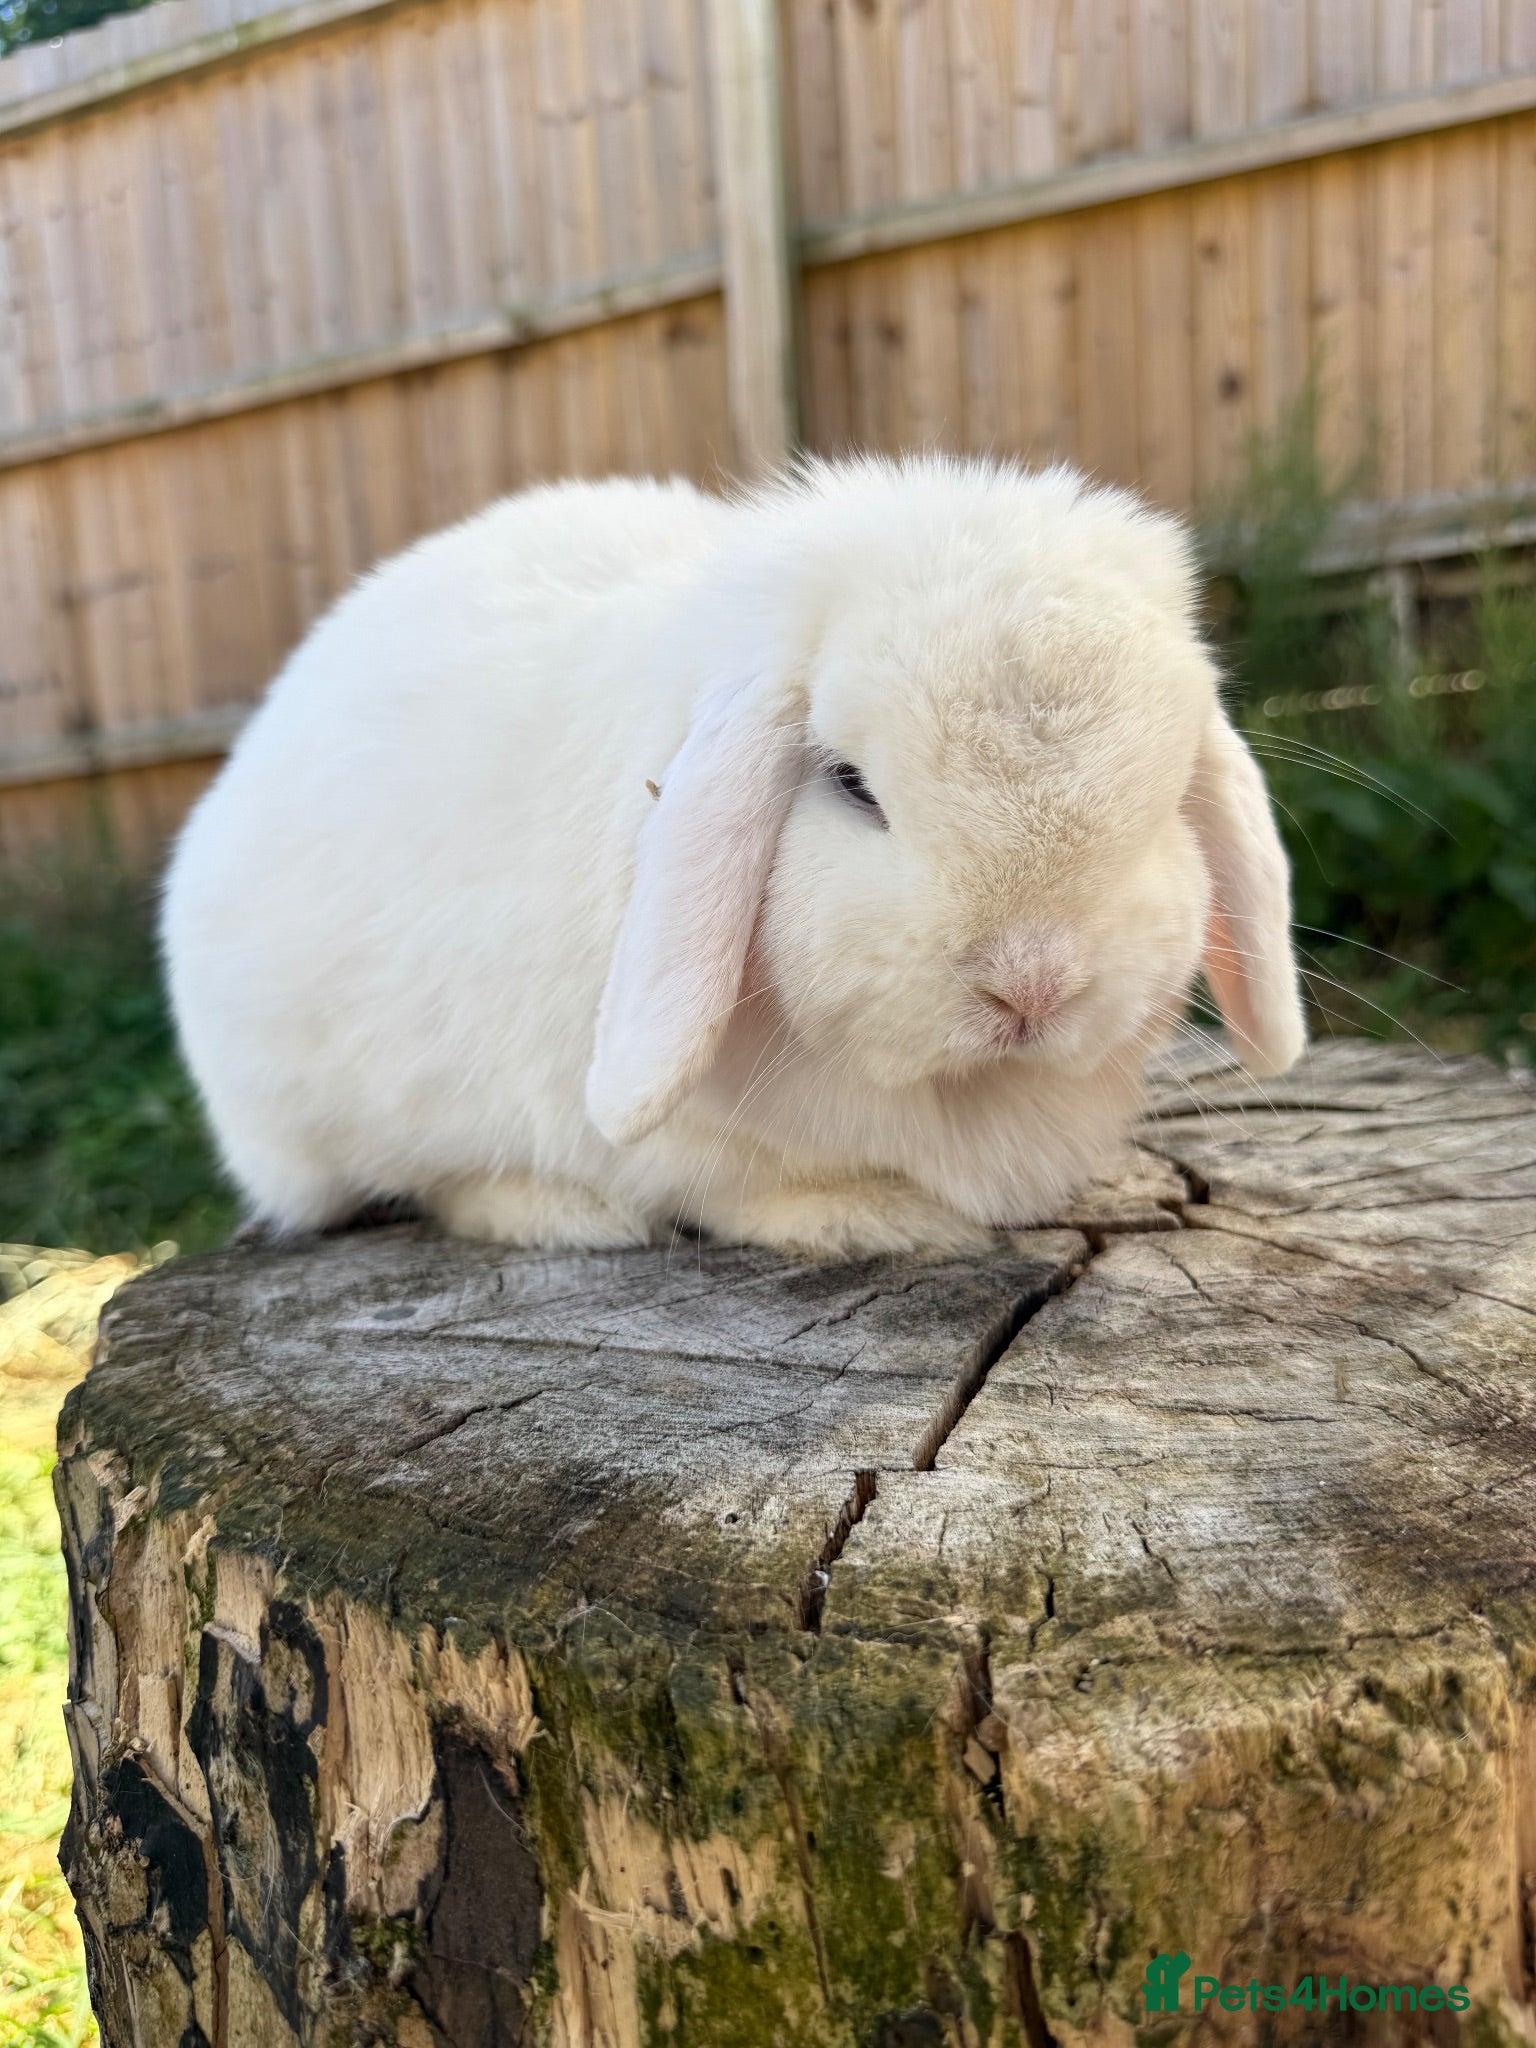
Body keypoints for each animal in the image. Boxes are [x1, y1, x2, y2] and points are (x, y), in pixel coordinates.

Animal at [161, 454, 1303, 1259]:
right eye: (851, 785)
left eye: (1166, 801)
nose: (1031, 984)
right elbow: (743, 1192)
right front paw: (879, 1220)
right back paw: (564, 1214)